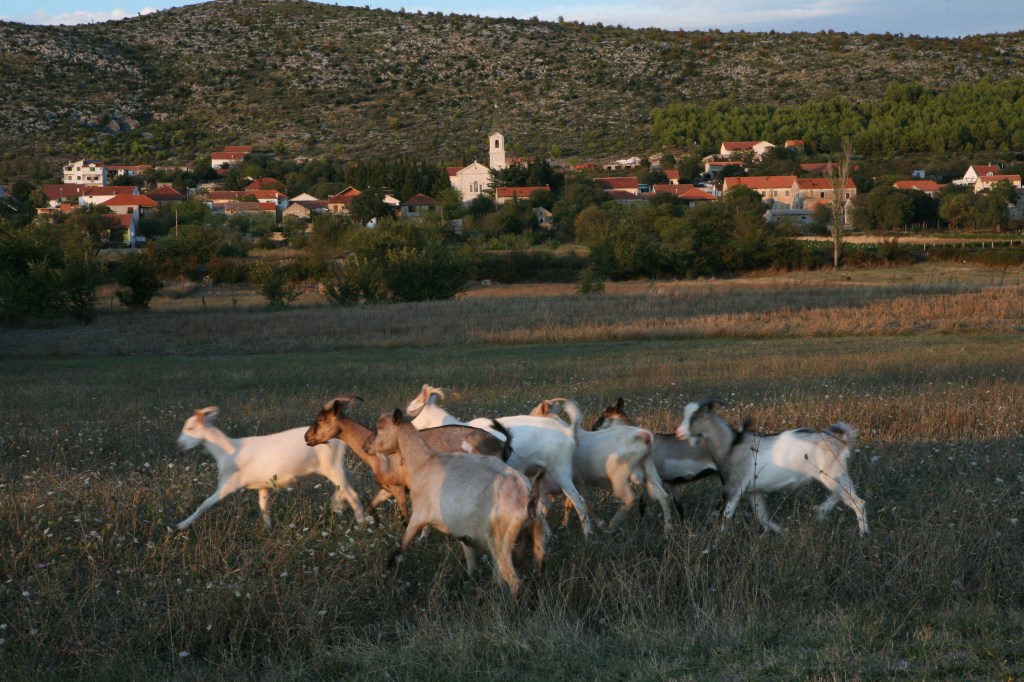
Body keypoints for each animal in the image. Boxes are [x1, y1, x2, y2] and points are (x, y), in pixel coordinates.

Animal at [176, 407, 365, 530]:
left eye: (190, 428)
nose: (179, 445)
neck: (228, 450)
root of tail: (339, 438)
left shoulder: (229, 484)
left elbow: (205, 504)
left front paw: (182, 525)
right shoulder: (263, 485)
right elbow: (263, 507)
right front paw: (268, 529)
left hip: (331, 467)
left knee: (352, 494)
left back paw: (362, 523)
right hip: (335, 467)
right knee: (348, 480)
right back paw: (337, 505)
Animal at [304, 395, 512, 519]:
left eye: (320, 419)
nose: (307, 437)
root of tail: (501, 444)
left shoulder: (399, 489)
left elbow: (404, 517)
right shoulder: (388, 488)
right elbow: (371, 506)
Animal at [367, 409, 548, 596]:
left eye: (378, 428)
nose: (366, 447)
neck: (424, 462)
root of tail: (529, 497)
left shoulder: (419, 516)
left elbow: (400, 548)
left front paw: (386, 573)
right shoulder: (463, 531)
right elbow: (471, 562)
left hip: (501, 544)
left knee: (515, 583)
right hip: (536, 538)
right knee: (537, 574)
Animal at [531, 398, 673, 531]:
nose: (593, 427)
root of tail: (643, 435)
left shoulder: (576, 482)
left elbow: (581, 503)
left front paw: (595, 524)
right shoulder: (578, 483)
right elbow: (574, 503)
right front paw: (565, 523)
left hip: (617, 476)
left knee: (630, 499)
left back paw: (612, 524)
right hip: (648, 474)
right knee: (664, 497)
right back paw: (668, 530)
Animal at [676, 399, 869, 535]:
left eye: (694, 417)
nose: (679, 433)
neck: (731, 445)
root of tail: (842, 442)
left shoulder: (735, 489)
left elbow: (727, 516)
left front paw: (717, 543)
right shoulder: (754, 492)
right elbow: (763, 517)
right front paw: (783, 532)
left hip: (831, 474)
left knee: (857, 502)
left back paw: (863, 534)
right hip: (836, 475)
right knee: (843, 495)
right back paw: (820, 513)